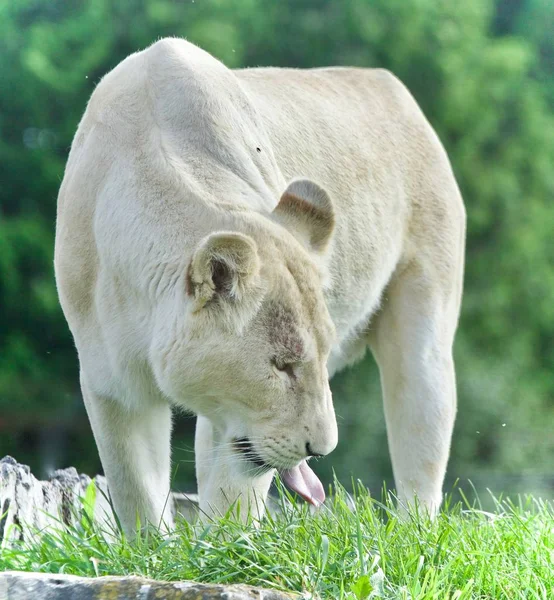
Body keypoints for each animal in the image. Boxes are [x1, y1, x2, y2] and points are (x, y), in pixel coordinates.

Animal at [54, 37, 464, 536]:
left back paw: (412, 533)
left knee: (422, 429)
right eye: (282, 366)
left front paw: (222, 549)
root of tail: (392, 87)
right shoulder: (111, 380)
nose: (321, 449)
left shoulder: (237, 423)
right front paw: (152, 550)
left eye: (321, 359)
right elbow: (137, 491)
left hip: (424, 323)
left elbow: (233, 495)